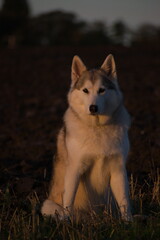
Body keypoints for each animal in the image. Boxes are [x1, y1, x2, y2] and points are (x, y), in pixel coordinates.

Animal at [41, 54, 132, 221]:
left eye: (101, 90)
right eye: (85, 90)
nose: (93, 108)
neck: (97, 128)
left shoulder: (118, 169)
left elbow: (125, 202)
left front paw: (128, 222)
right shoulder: (75, 169)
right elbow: (68, 202)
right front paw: (67, 223)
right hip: (48, 205)